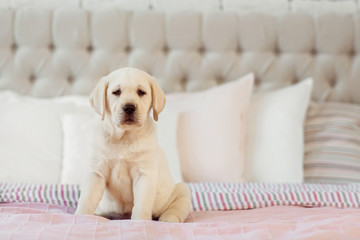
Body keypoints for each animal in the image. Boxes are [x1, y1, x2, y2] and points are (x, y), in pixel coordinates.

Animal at [75, 66, 191, 222]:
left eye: (141, 92)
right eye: (116, 92)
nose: (129, 107)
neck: (125, 137)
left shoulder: (144, 174)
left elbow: (142, 204)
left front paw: (140, 221)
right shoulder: (96, 172)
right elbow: (87, 199)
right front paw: (81, 217)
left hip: (182, 191)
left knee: (175, 209)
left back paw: (168, 219)